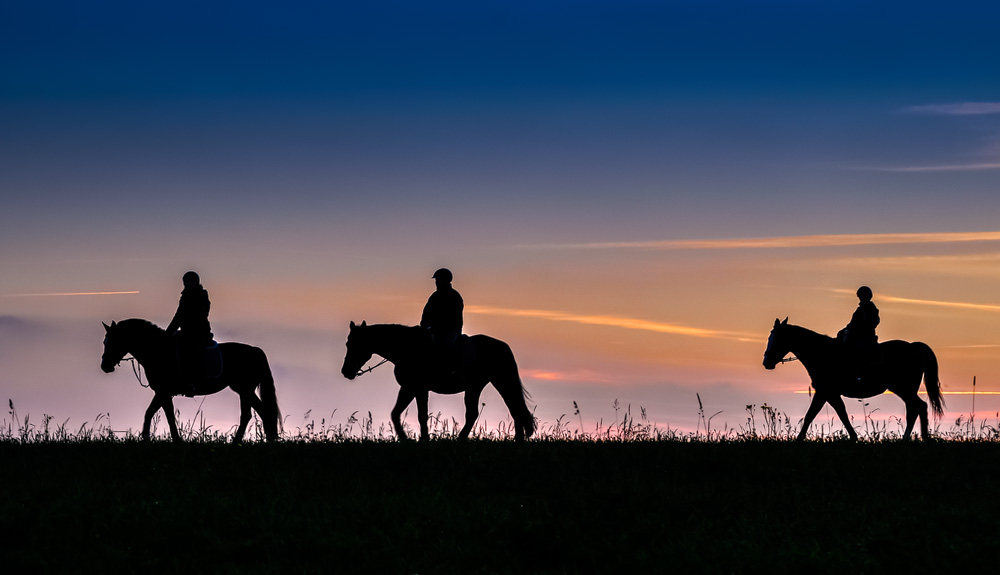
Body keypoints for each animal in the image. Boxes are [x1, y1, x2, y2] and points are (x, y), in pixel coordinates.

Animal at [101, 318, 280, 444]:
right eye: (105, 341)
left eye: (114, 341)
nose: (105, 366)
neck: (158, 351)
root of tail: (254, 350)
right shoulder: (162, 392)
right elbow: (154, 412)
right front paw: (148, 438)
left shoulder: (163, 391)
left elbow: (164, 414)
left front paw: (172, 439)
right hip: (244, 390)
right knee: (251, 414)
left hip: (244, 389)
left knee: (260, 412)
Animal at [340, 324, 536, 440]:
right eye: (347, 343)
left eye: (354, 344)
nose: (346, 371)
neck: (407, 349)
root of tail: (502, 346)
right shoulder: (409, 388)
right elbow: (397, 413)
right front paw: (409, 439)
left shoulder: (417, 388)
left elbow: (420, 415)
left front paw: (417, 439)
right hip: (483, 385)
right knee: (506, 409)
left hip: (493, 383)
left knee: (505, 409)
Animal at [764, 320, 944, 440]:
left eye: (777, 339)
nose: (766, 362)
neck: (822, 354)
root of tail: (914, 347)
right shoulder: (830, 394)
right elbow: (840, 413)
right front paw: (853, 437)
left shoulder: (824, 392)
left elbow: (811, 415)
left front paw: (799, 439)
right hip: (905, 390)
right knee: (915, 408)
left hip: (904, 389)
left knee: (919, 407)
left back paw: (915, 438)